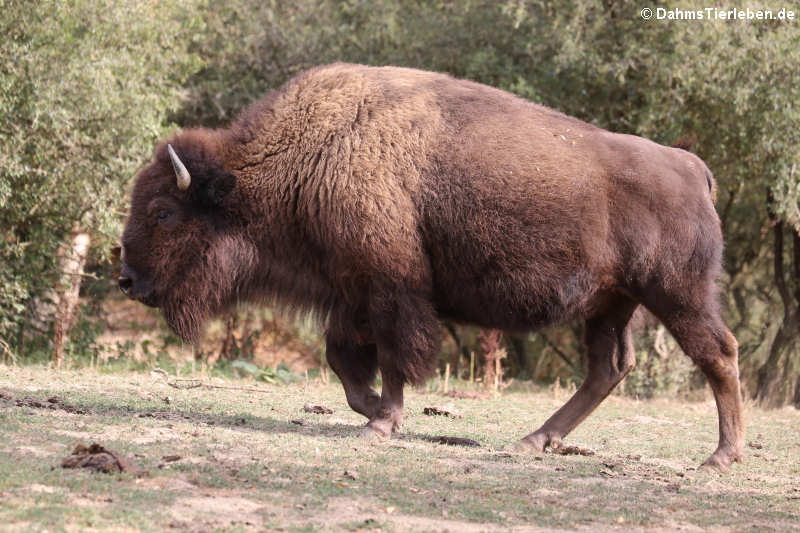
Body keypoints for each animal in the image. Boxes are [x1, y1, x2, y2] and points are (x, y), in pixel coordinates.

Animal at [119, 63, 744, 470]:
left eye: (163, 211)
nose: (126, 280)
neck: (310, 154)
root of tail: (691, 167)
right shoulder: (352, 289)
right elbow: (344, 359)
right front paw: (372, 409)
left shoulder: (390, 287)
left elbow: (395, 356)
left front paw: (381, 422)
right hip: (612, 303)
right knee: (607, 368)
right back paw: (534, 440)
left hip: (676, 293)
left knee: (718, 353)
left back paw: (720, 457)